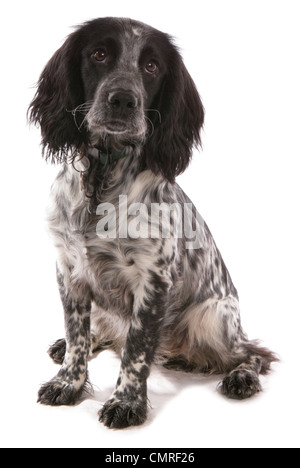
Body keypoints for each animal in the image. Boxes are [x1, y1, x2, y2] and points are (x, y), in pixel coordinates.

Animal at [28, 17, 276, 428]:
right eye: (99, 54)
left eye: (151, 66)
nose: (123, 100)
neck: (102, 178)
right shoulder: (69, 270)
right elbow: (77, 334)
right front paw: (68, 382)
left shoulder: (154, 279)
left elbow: (137, 348)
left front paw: (126, 402)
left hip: (213, 318)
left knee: (255, 353)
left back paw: (241, 377)